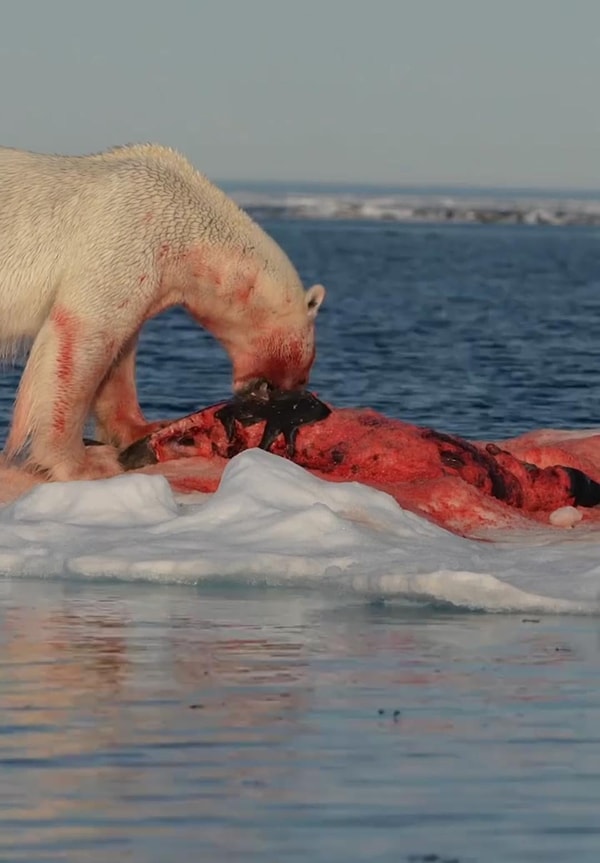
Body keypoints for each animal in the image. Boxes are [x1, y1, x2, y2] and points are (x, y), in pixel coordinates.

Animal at [0, 142, 324, 480]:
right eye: (304, 371)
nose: (292, 397)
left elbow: (118, 357)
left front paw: (147, 427)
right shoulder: (126, 240)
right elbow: (83, 336)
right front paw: (87, 463)